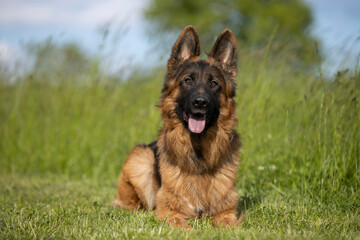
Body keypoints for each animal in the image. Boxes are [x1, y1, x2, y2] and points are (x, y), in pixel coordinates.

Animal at [113, 25, 242, 229]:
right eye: (188, 80)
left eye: (214, 83)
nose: (200, 103)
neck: (198, 153)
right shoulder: (169, 211)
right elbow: (182, 225)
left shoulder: (226, 212)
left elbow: (229, 225)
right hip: (140, 158)